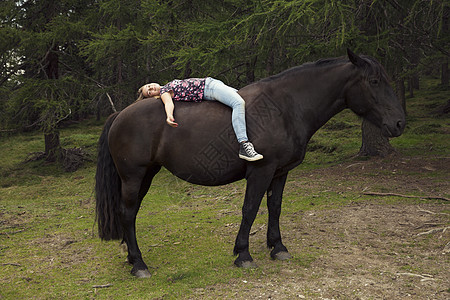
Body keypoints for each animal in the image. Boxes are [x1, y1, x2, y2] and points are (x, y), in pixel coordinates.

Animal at [96, 49, 406, 276]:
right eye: (374, 81)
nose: (399, 123)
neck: (286, 108)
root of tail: (120, 114)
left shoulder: (280, 173)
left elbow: (275, 207)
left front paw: (277, 247)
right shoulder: (261, 172)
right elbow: (250, 209)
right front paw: (243, 254)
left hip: (145, 176)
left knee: (131, 213)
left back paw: (131, 258)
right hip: (134, 177)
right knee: (127, 214)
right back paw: (139, 265)